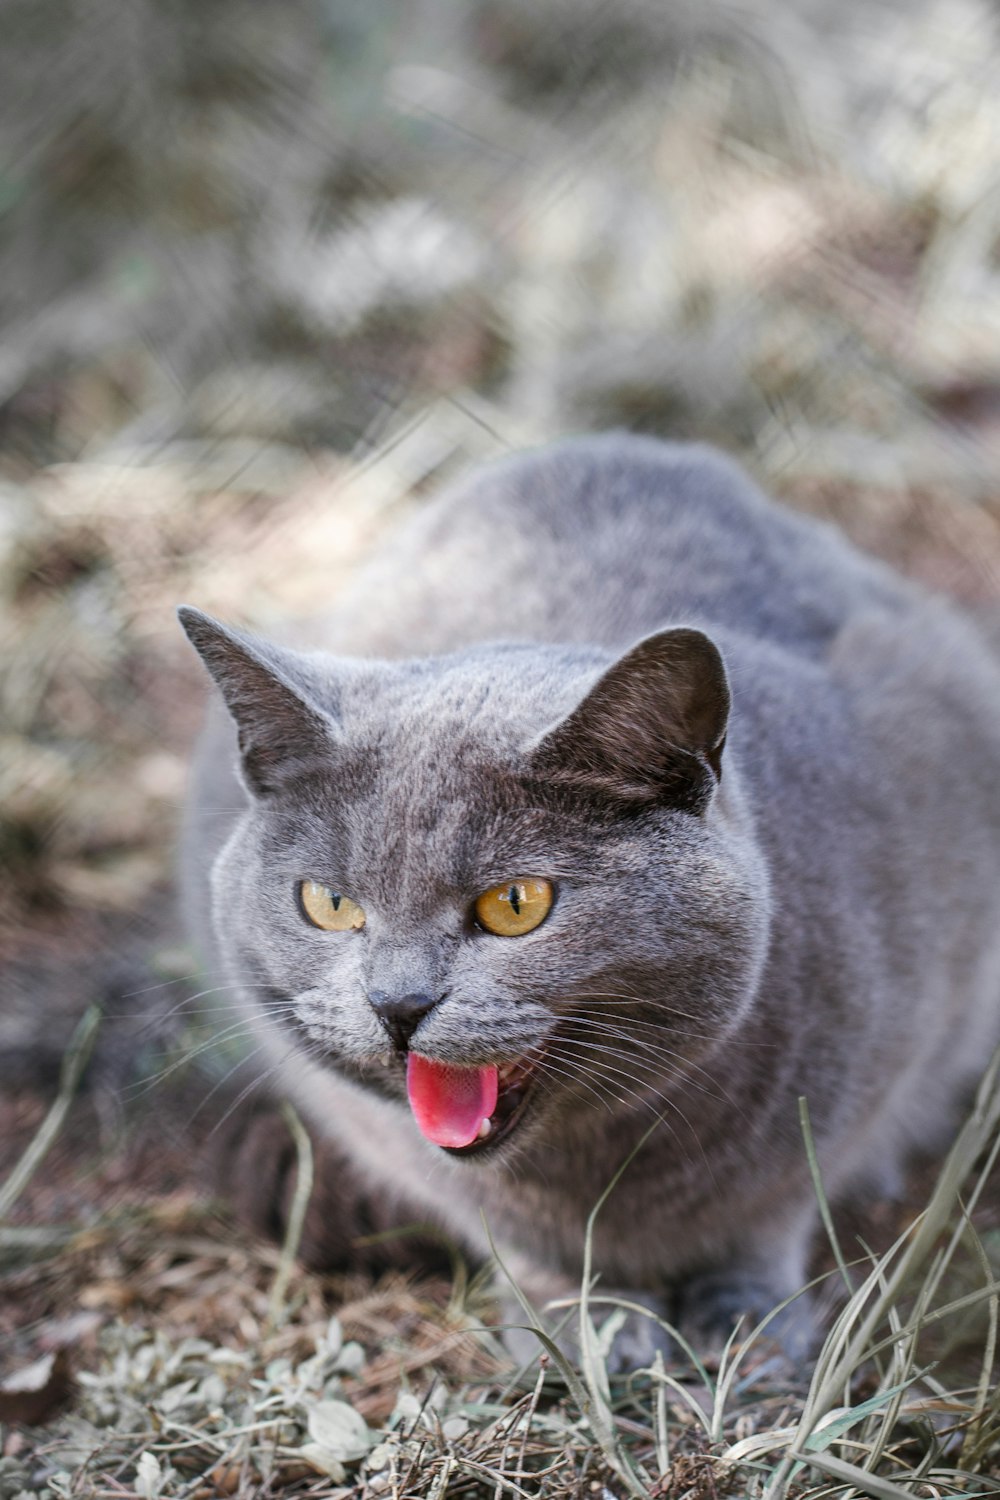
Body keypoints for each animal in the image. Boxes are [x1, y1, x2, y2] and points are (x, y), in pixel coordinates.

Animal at [176, 438, 1000, 1374]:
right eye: (329, 902)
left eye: (517, 904)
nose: (397, 1003)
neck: (586, 1166)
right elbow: (508, 1233)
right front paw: (587, 1323)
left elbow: (772, 1211)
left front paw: (746, 1324)